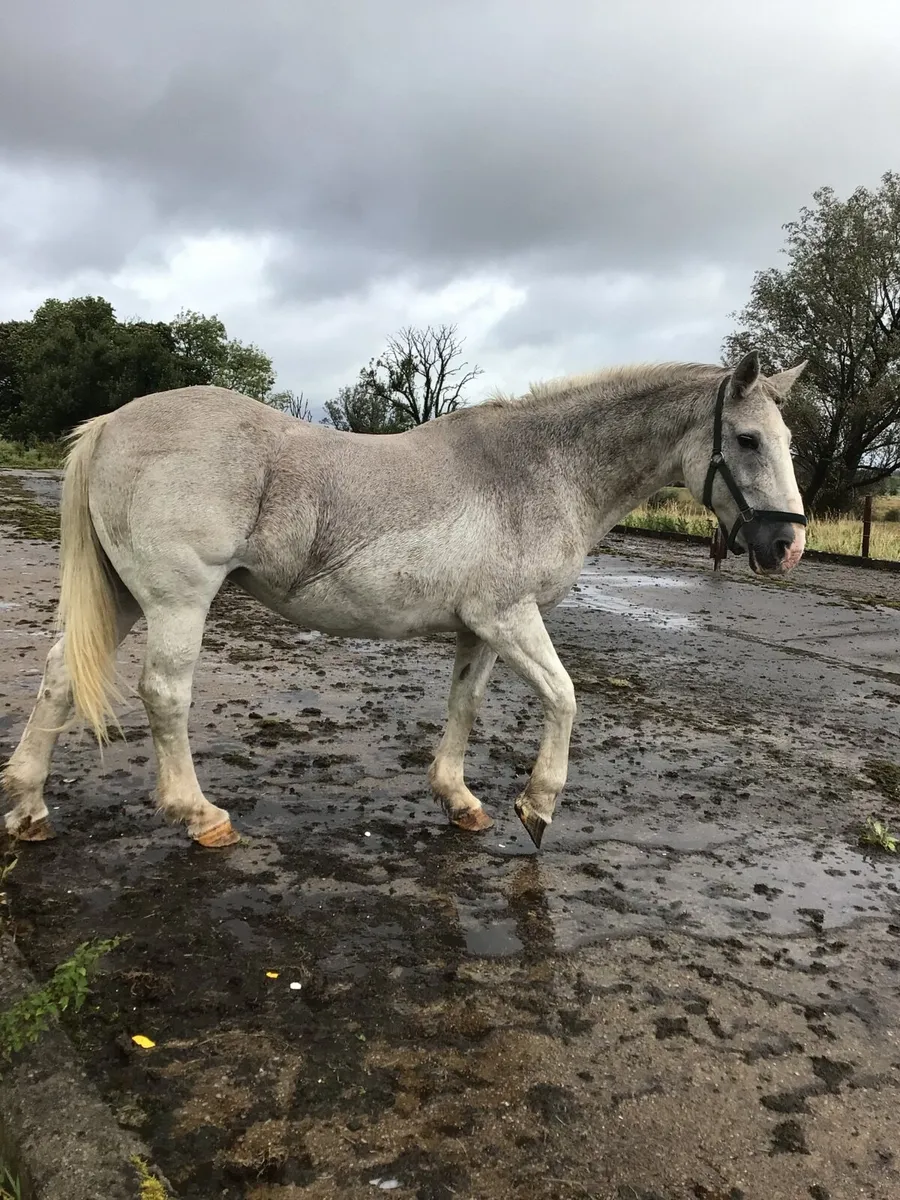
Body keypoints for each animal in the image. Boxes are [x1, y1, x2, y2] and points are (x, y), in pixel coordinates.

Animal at [2, 350, 808, 851]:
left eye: (787, 441)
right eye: (746, 440)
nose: (787, 546)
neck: (539, 468)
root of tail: (112, 424)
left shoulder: (480, 628)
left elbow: (464, 705)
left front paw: (460, 802)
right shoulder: (511, 616)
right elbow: (565, 697)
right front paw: (537, 807)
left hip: (121, 595)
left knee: (61, 677)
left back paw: (30, 808)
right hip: (178, 600)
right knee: (164, 693)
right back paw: (200, 817)